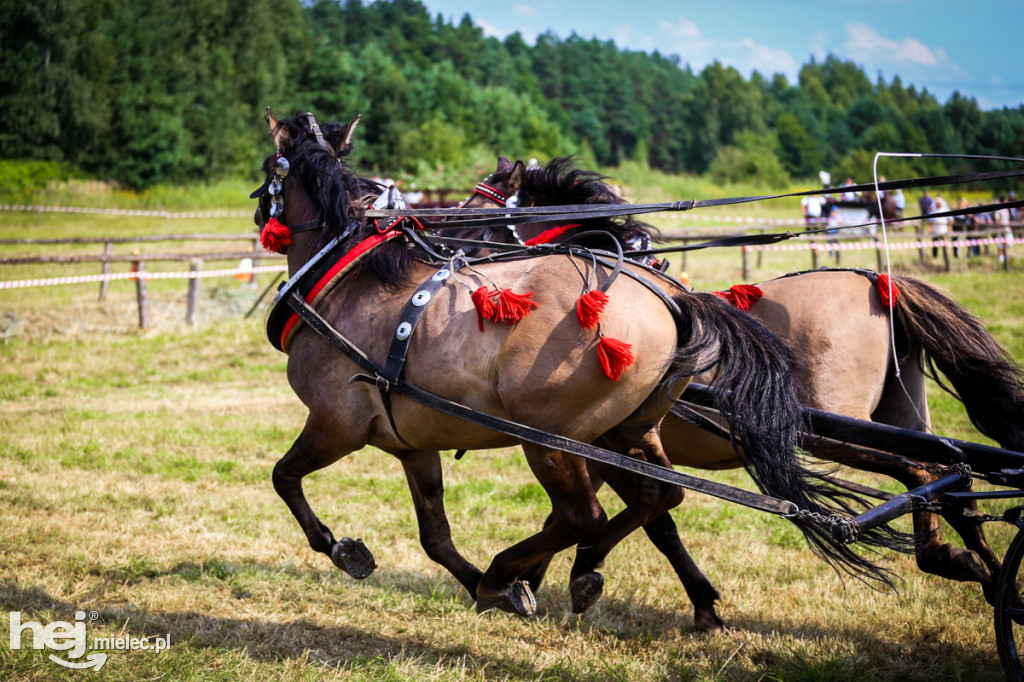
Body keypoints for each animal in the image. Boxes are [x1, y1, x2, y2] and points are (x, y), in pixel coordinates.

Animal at [249, 110, 888, 614]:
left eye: (477, 209)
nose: (258, 217)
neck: (349, 278)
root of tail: (675, 302)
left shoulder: (336, 423)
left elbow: (284, 477)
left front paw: (342, 548)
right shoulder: (412, 440)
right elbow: (435, 535)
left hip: (553, 439)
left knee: (584, 515)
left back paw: (510, 573)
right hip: (627, 431)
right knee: (655, 498)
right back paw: (532, 576)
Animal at [460, 153, 1024, 626]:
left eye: (474, 213)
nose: (448, 256)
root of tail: (874, 280)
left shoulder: (599, 442)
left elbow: (649, 520)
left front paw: (558, 577)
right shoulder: (599, 443)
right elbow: (639, 516)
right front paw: (537, 579)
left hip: (830, 432)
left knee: (920, 472)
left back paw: (948, 560)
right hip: (903, 418)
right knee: (952, 483)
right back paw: (990, 578)